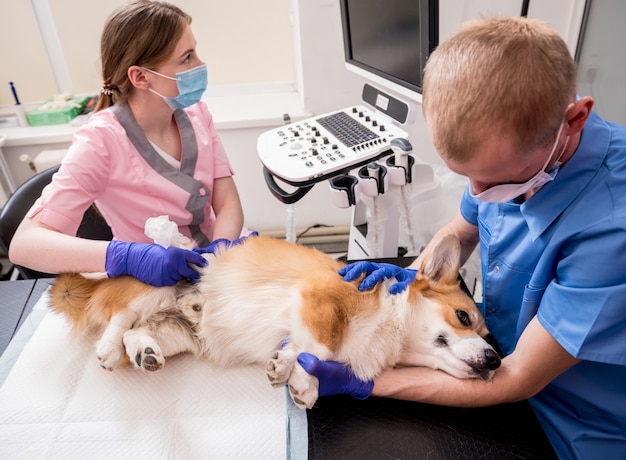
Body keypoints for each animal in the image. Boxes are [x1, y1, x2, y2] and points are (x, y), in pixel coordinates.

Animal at [48, 235, 500, 408]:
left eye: (488, 335)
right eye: (463, 316)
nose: (496, 360)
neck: (390, 326)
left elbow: (310, 354)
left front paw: (300, 377)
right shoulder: (317, 299)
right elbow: (321, 347)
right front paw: (294, 374)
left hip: (180, 333)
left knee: (139, 332)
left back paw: (145, 352)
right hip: (159, 280)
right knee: (121, 317)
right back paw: (109, 347)